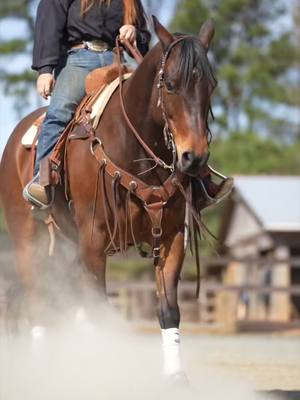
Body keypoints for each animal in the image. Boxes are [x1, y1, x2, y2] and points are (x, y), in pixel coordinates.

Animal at [0, 16, 217, 378]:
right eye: (171, 85)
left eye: (211, 86)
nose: (194, 158)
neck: (132, 144)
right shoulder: (94, 240)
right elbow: (99, 312)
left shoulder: (171, 235)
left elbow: (168, 309)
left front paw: (175, 376)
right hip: (27, 240)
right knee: (38, 299)